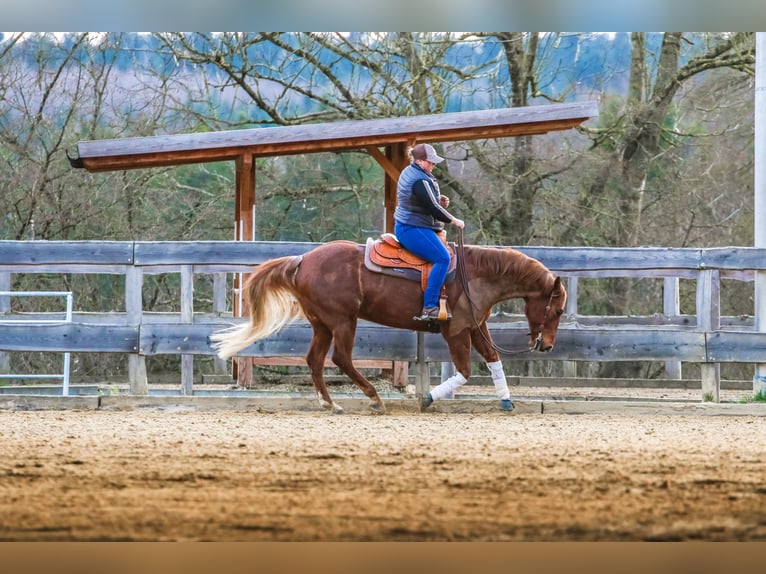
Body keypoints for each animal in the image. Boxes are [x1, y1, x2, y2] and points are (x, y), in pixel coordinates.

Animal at [210, 239, 567, 414]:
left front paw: (506, 401)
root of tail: (303, 260)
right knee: (341, 359)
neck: (476, 274)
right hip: (343, 321)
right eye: (558, 309)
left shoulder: (476, 327)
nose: (546, 344)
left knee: (315, 361)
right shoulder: (456, 332)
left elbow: (494, 359)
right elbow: (464, 371)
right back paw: (373, 398)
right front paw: (427, 399)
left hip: (322, 324)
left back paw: (331, 403)